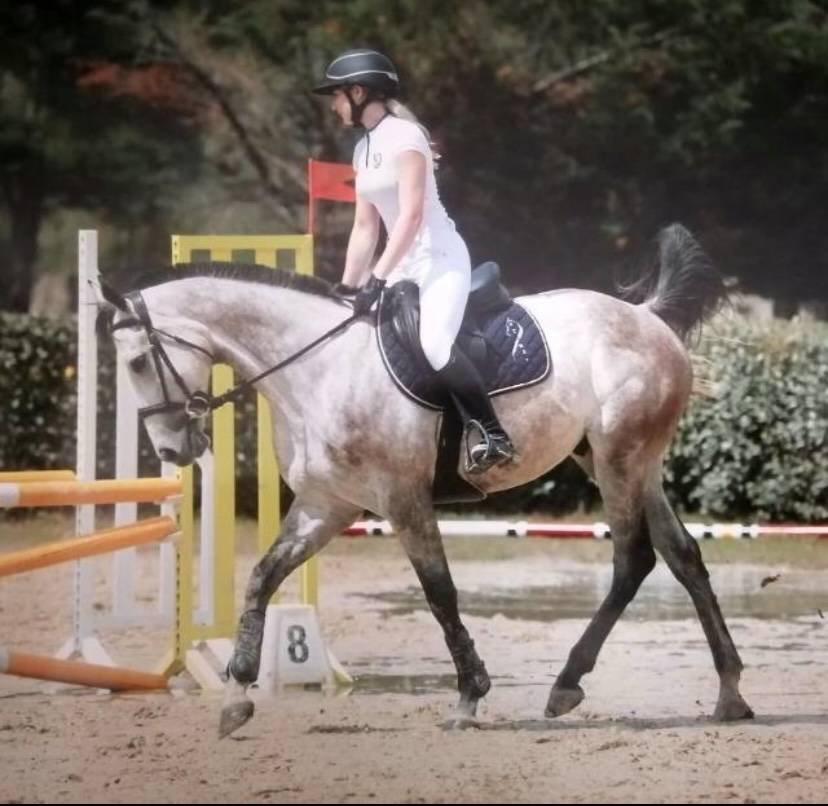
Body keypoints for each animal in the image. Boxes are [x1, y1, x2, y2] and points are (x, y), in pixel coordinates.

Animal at [97, 223, 754, 737]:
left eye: (138, 362)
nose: (175, 449)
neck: (316, 368)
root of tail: (645, 317)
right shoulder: (325, 505)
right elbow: (261, 578)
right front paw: (236, 697)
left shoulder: (403, 499)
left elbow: (439, 593)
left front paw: (468, 696)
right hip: (620, 461)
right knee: (683, 554)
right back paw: (729, 693)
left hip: (620, 458)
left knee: (632, 559)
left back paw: (567, 684)